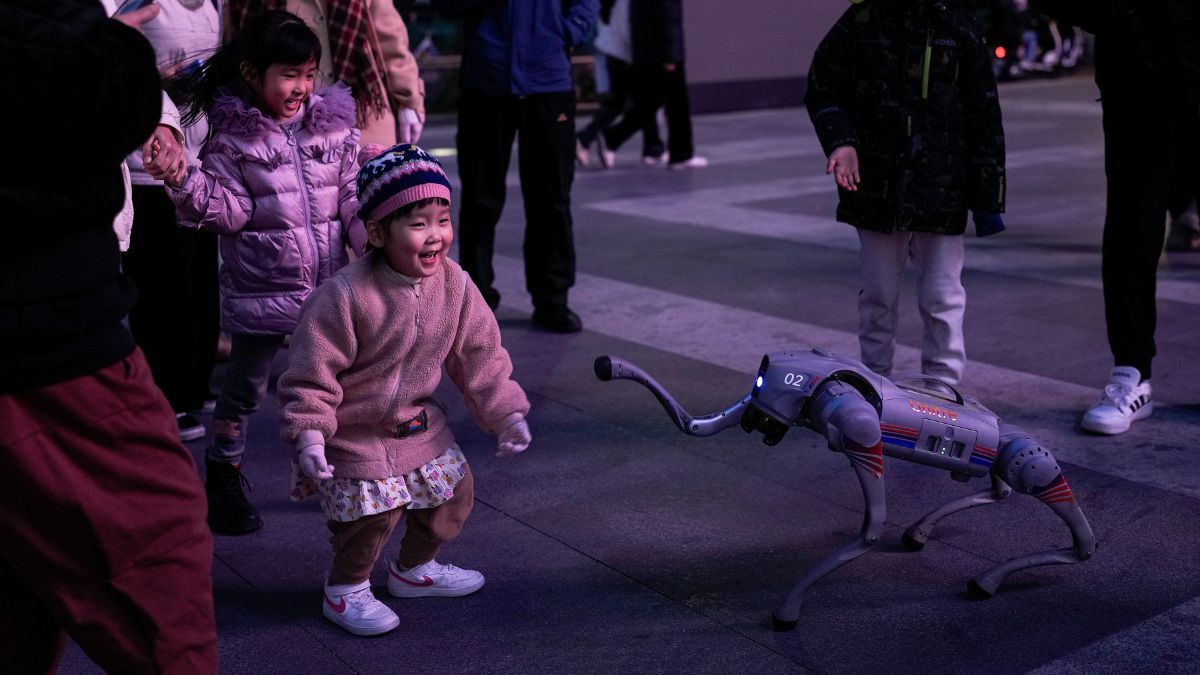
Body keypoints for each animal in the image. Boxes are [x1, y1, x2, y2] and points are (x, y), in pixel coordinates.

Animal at [592, 348, 1099, 629]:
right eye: (756, 390)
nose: (603, 364)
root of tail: (999, 425)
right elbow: (872, 525)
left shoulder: (860, 428)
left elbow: (871, 528)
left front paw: (787, 612)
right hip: (988, 463)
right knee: (999, 492)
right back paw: (922, 534)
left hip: (1019, 456)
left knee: (1072, 524)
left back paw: (992, 579)